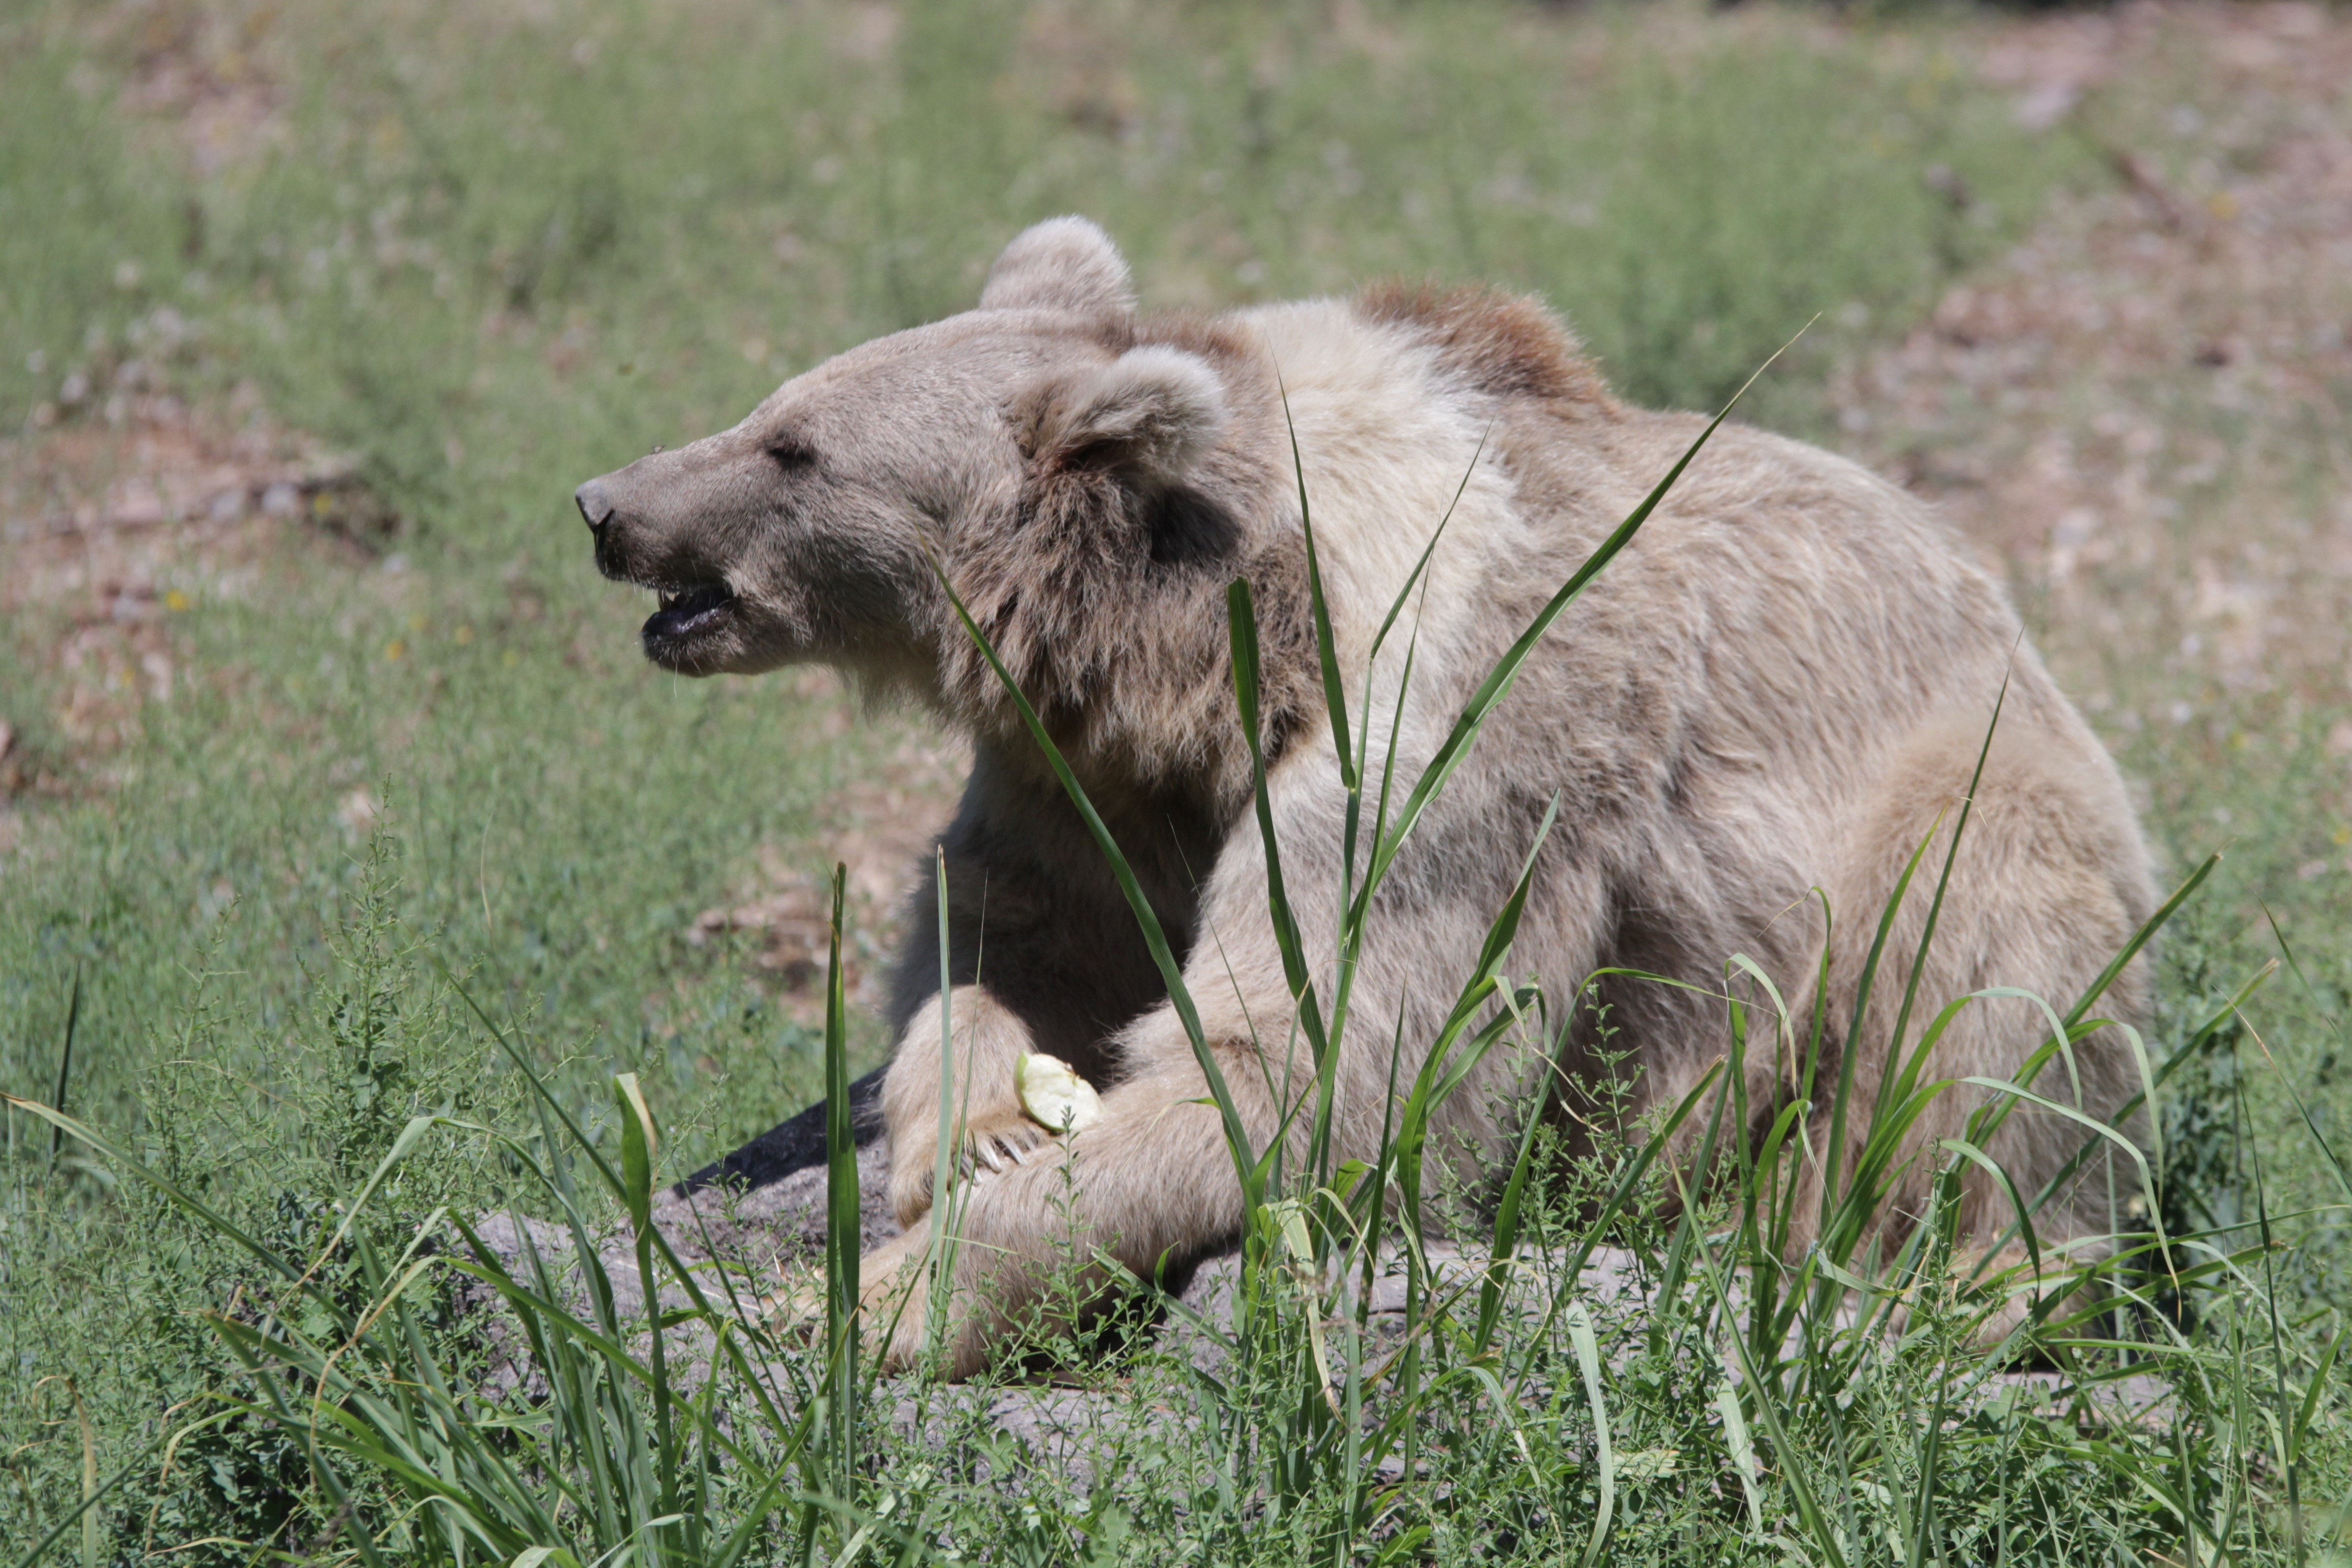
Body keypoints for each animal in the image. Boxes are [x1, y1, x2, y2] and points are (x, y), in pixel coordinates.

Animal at [574, 211, 2154, 1372]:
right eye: (776, 405)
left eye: (792, 447)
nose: (605, 504)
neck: (1220, 641)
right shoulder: (1083, 764)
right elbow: (1010, 927)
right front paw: (972, 1123)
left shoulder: (1442, 732)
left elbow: (1308, 1058)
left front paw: (879, 1297)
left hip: (1976, 813)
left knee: (1990, 1019)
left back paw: (1964, 1279)